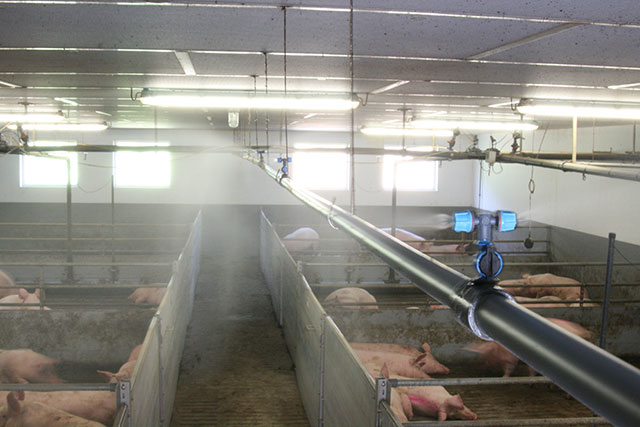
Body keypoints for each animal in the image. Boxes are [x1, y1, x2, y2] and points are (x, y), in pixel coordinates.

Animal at [464, 318, 596, 378]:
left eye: (486, 353)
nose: (480, 366)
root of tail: (586, 332)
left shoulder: (511, 359)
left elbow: (509, 370)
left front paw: (503, 378)